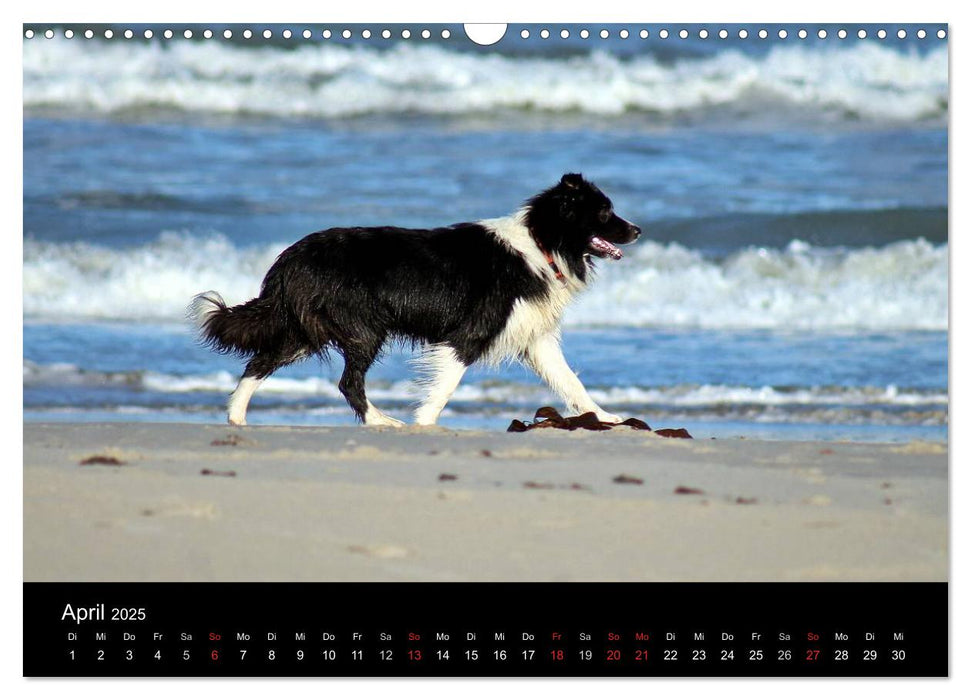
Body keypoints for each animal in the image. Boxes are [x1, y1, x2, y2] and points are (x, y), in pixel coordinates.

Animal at [193, 175, 640, 426]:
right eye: (604, 213)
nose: (637, 230)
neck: (542, 242)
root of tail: (288, 260)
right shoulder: (469, 334)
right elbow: (444, 386)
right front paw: (424, 424)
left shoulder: (536, 337)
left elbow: (570, 382)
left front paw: (603, 417)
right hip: (363, 328)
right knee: (347, 382)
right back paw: (381, 422)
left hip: (304, 329)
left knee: (259, 363)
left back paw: (236, 417)